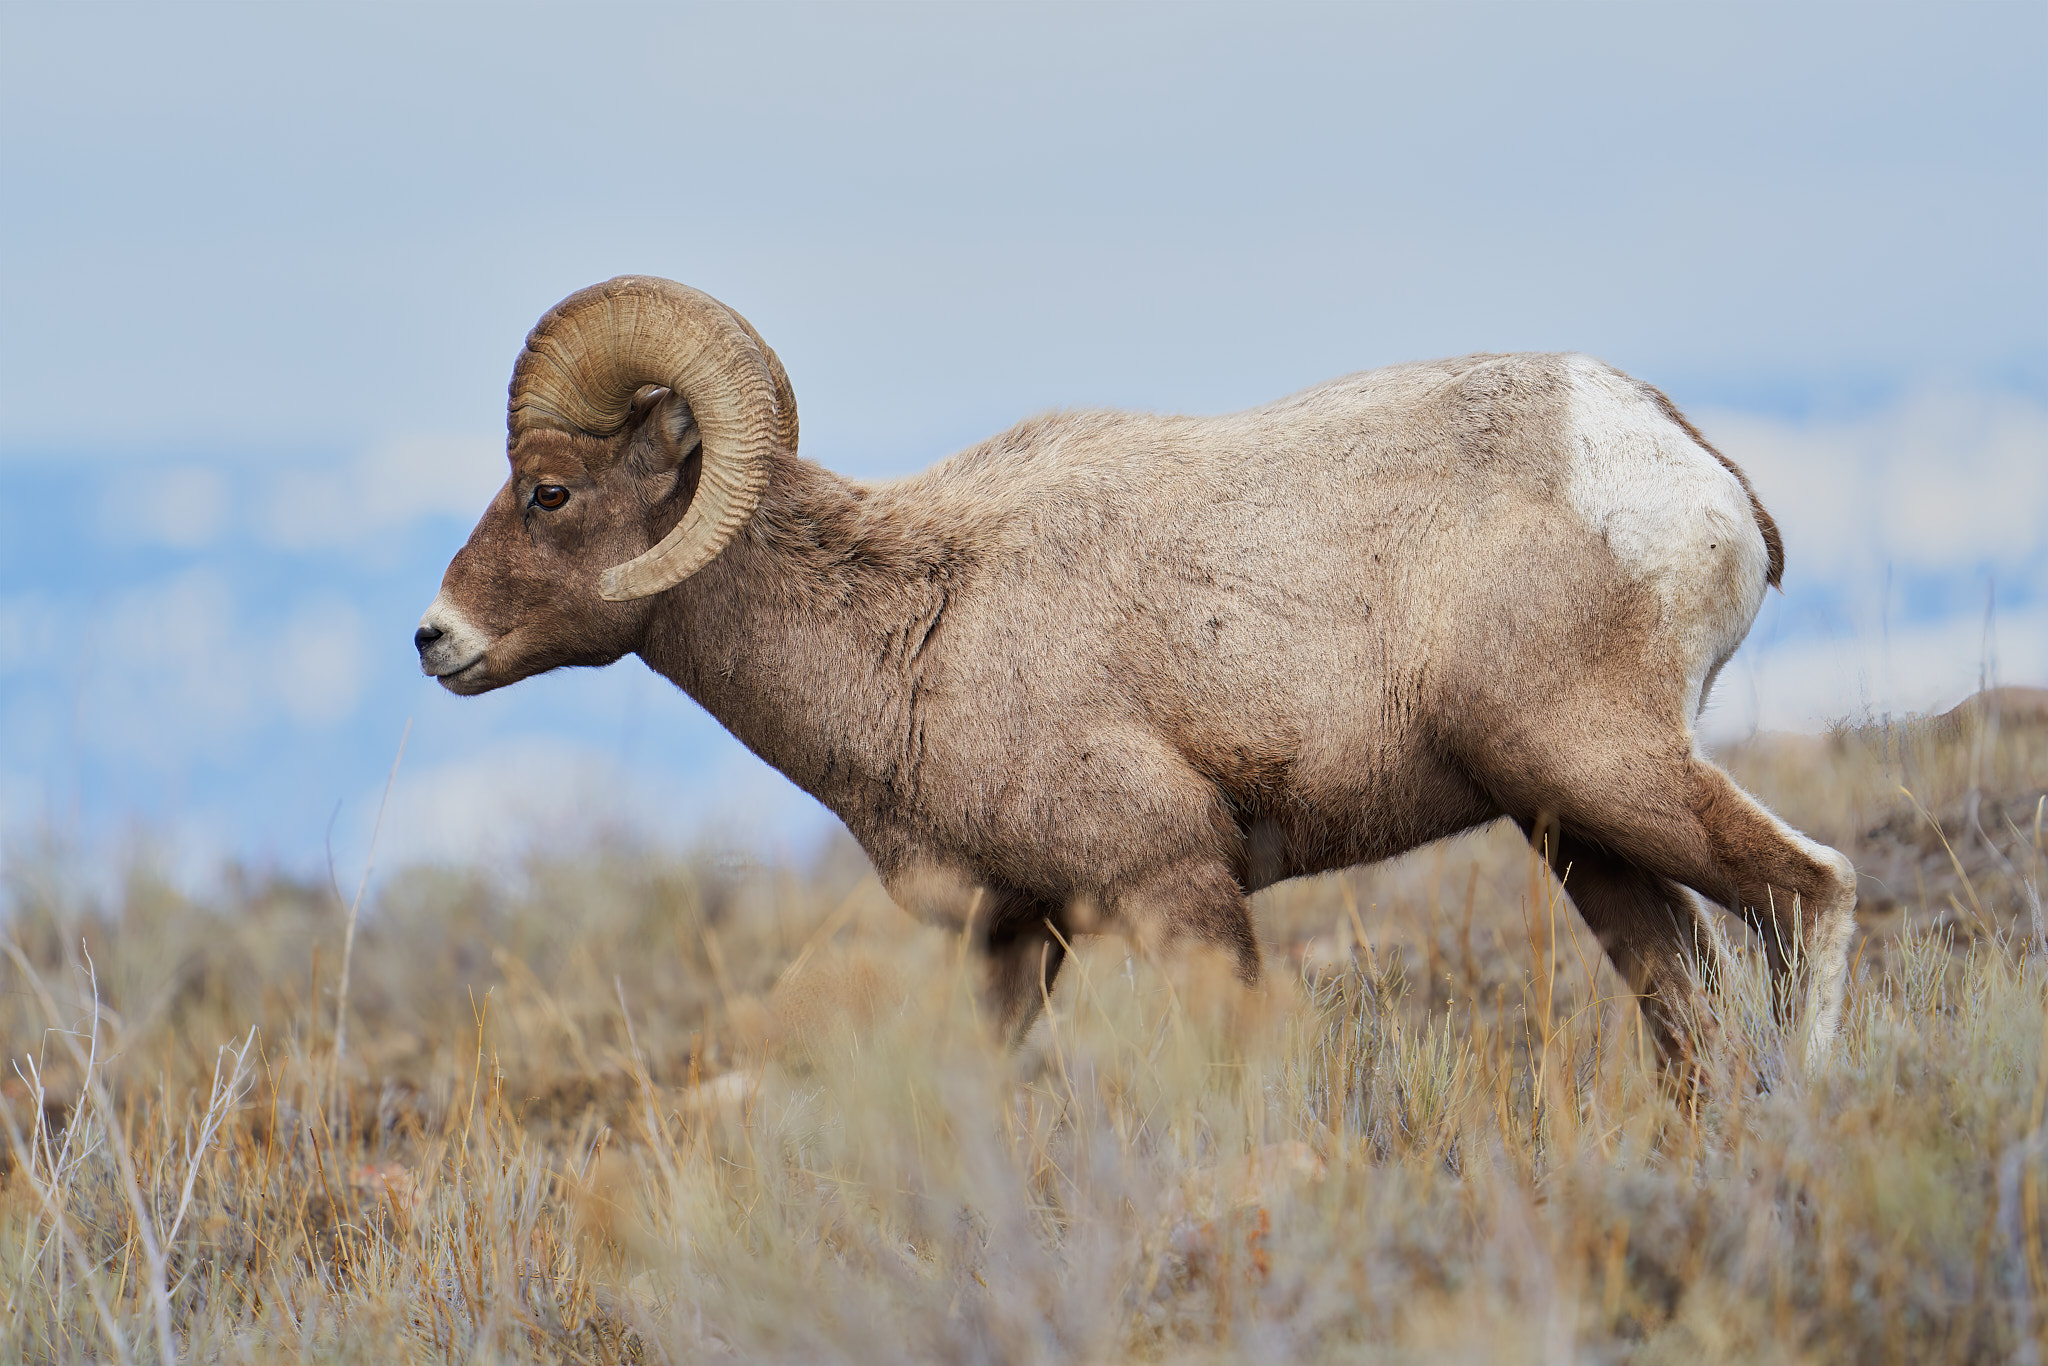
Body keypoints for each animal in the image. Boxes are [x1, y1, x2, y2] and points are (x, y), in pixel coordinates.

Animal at [416, 275, 1858, 1074]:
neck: (913, 621)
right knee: (1690, 1009)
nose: (435, 640)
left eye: (549, 492)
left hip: (1605, 767)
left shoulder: (1175, 890)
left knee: (1809, 893)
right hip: (1571, 826)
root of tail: (1682, 462)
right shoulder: (1017, 933)